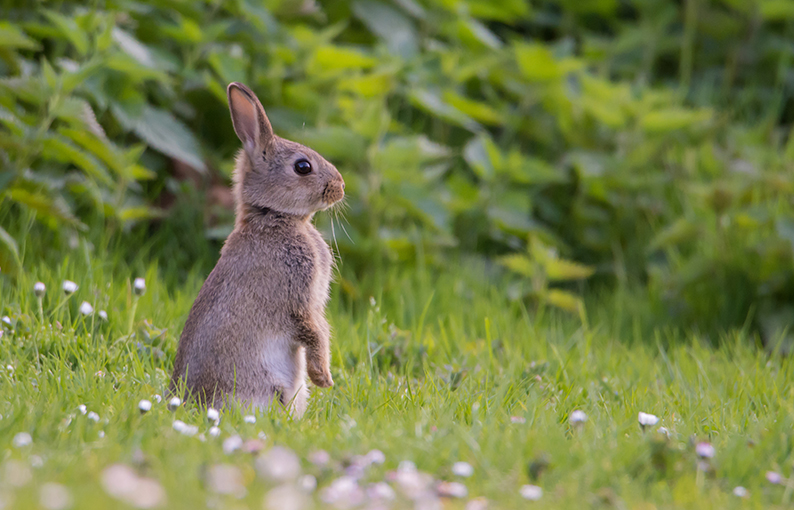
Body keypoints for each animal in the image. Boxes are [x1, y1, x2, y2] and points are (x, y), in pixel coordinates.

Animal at [169, 81, 344, 416]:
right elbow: (313, 331)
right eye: (303, 166)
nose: (340, 187)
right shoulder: (297, 298)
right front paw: (323, 378)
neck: (274, 217)